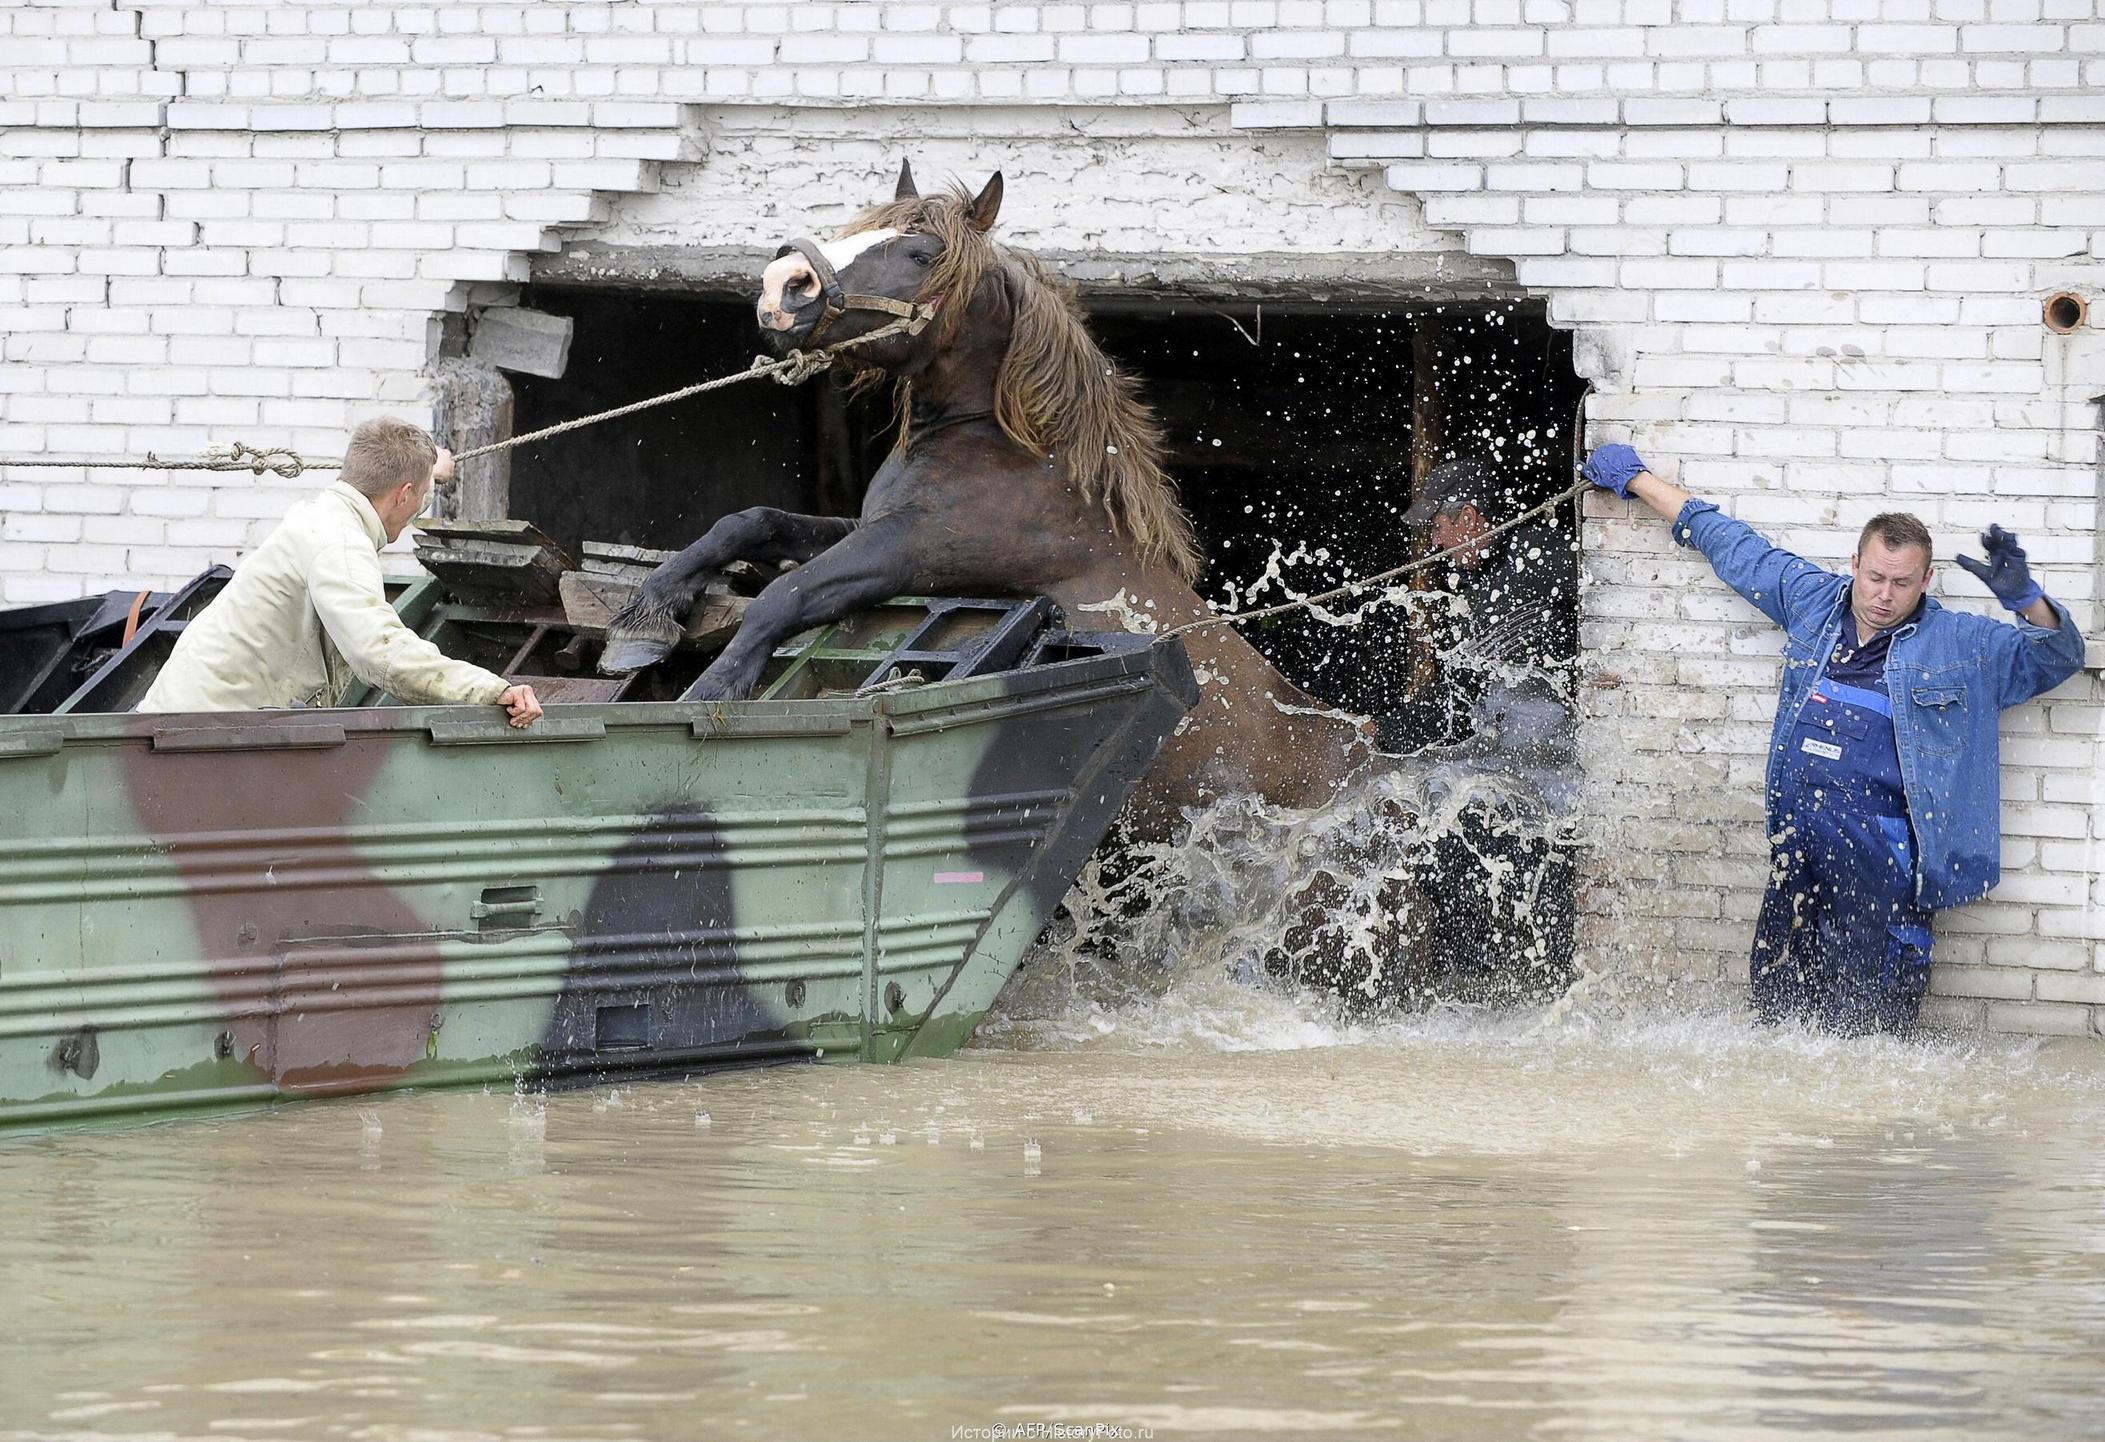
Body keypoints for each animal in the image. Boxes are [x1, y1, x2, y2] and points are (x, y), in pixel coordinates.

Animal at [601, 164, 1377, 837]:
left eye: (920, 253)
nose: (781, 285)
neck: (1002, 450)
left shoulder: (908, 554)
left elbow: (783, 595)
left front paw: (710, 694)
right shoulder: (866, 526)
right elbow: (746, 523)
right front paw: (645, 619)